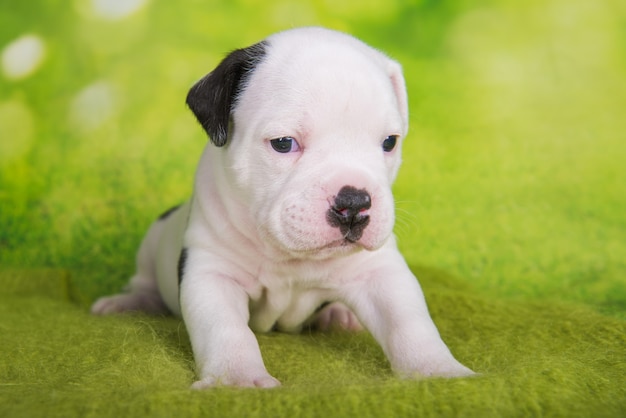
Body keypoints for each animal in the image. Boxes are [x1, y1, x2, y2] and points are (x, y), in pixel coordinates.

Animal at [91, 27, 472, 388]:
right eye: (284, 143)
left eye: (389, 142)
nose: (353, 202)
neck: (290, 258)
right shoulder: (212, 272)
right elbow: (227, 330)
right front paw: (237, 377)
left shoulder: (380, 272)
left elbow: (409, 322)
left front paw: (438, 370)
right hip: (153, 239)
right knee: (144, 281)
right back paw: (128, 304)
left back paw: (338, 314)